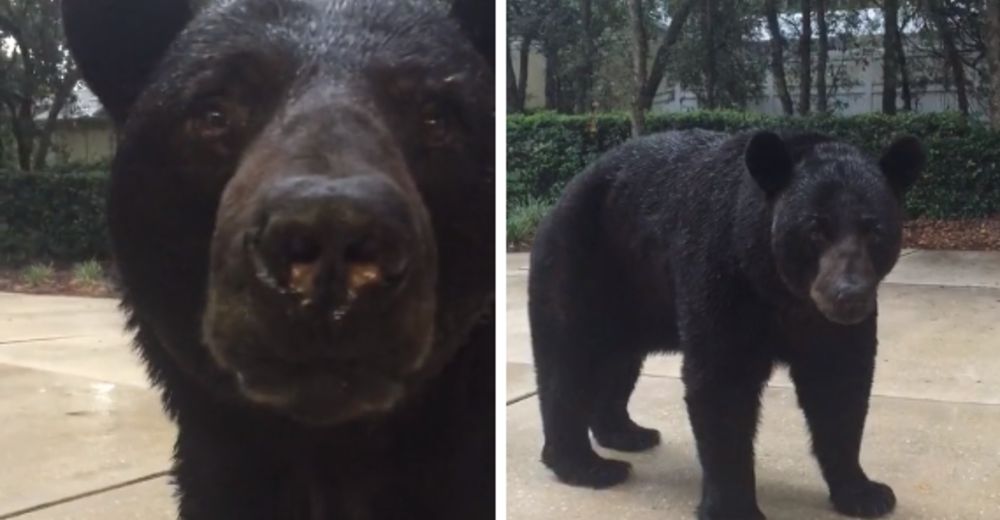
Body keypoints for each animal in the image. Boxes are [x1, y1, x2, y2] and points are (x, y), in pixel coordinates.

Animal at [528, 129, 924, 520]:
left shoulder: (827, 324)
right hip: (582, 264)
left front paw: (864, 492)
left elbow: (840, 384)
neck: (780, 291)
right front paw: (734, 507)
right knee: (567, 363)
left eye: (874, 229)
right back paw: (587, 465)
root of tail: (563, 197)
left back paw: (626, 433)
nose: (849, 294)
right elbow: (723, 386)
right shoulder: (722, 277)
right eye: (814, 228)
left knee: (618, 363)